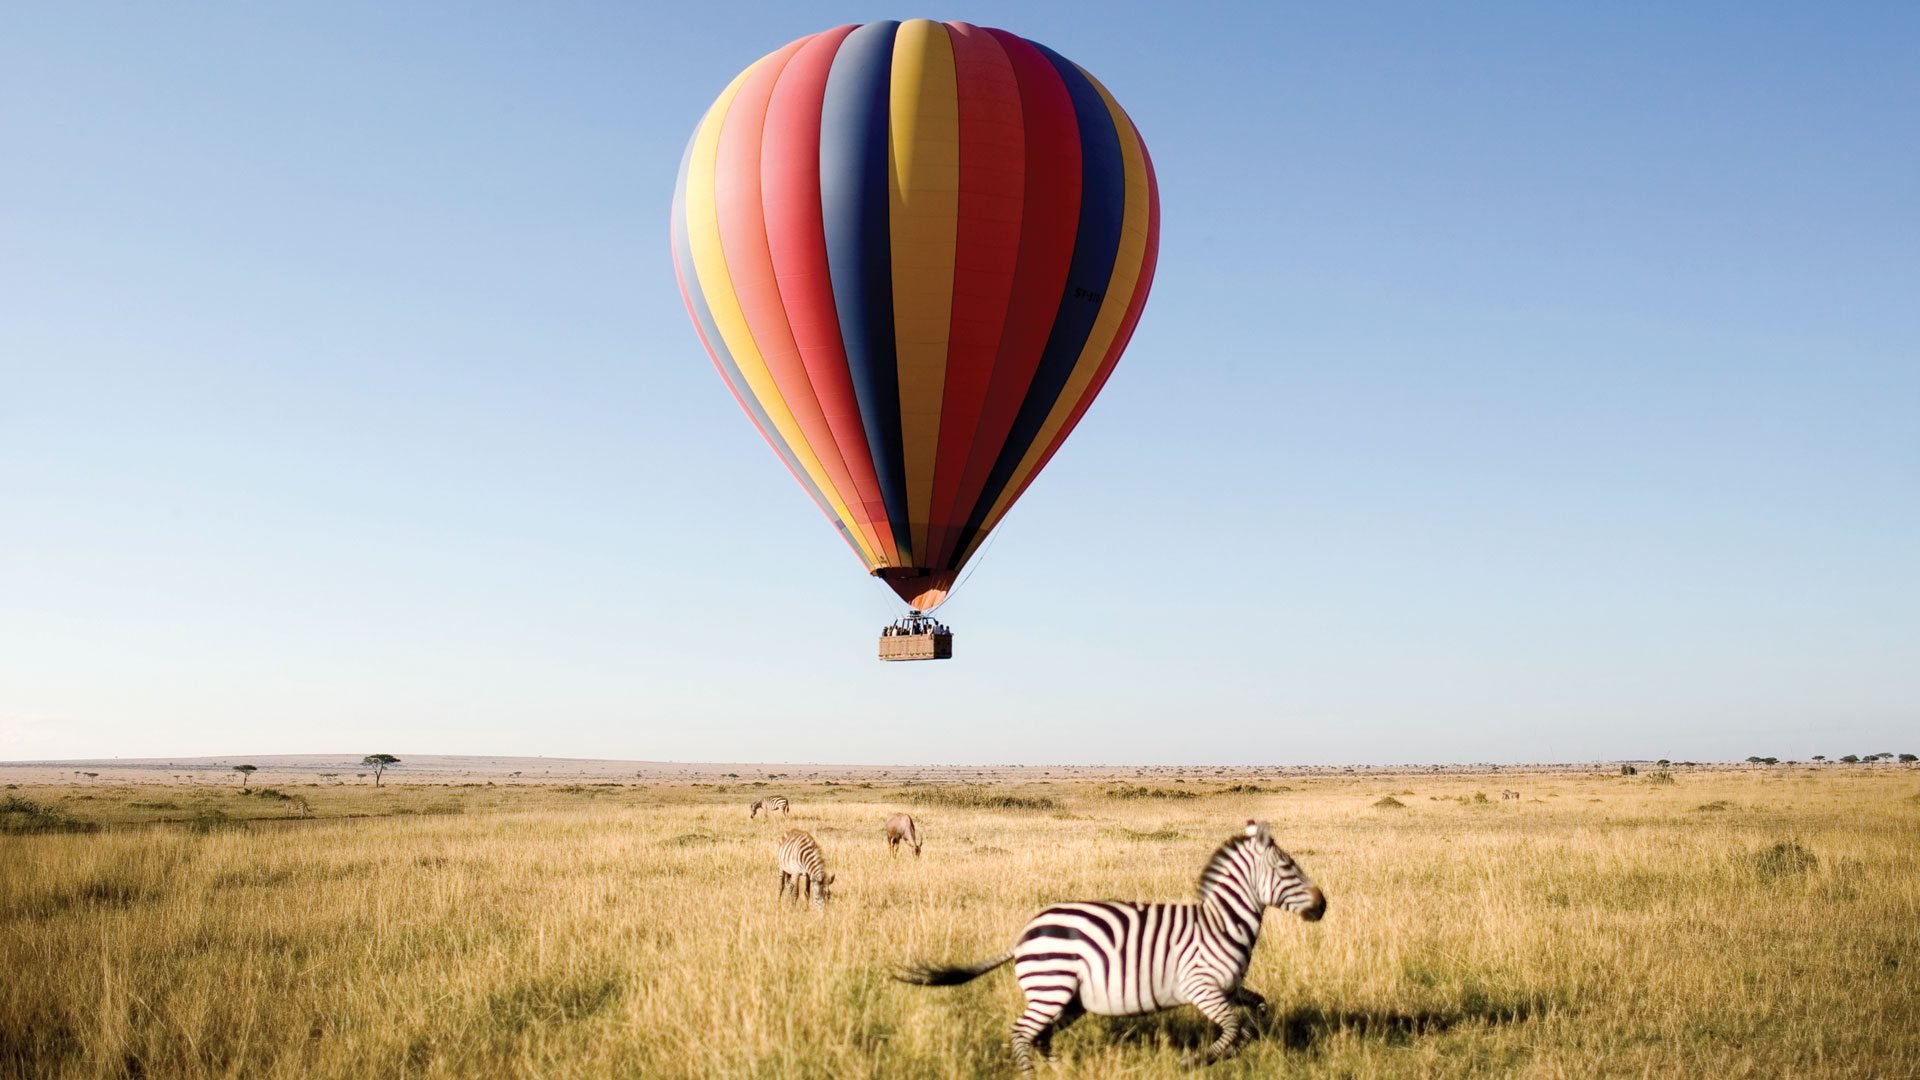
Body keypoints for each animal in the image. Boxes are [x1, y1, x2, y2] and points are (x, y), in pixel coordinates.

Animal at [894, 814, 1320, 1068]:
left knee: (1041, 1036)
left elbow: (1255, 1013)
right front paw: (1193, 1062)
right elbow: (1234, 1028)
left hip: (1067, 999)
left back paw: (1058, 1073)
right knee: (1022, 1033)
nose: (1323, 905)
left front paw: (1230, 1053)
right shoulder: (1201, 987)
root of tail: (1022, 938)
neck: (1222, 924)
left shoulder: (1229, 989)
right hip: (1051, 989)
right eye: (1288, 867)